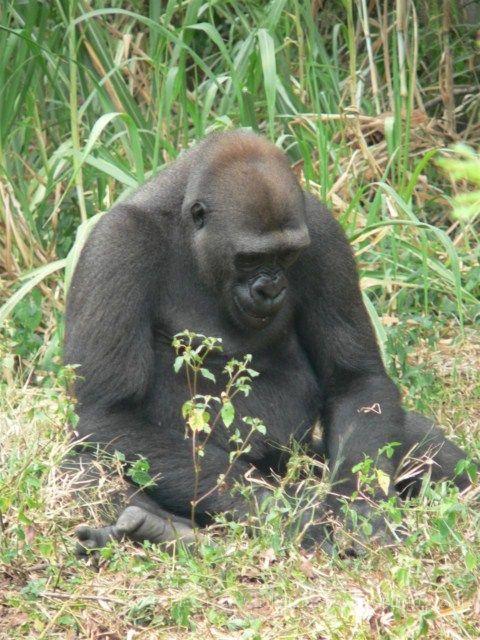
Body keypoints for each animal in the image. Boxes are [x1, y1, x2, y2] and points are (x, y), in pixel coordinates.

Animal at [63, 130, 472, 556]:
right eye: (248, 258)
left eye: (287, 254)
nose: (269, 288)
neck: (187, 229)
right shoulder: (117, 244)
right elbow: (109, 414)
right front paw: (295, 515)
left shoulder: (324, 233)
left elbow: (357, 381)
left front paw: (361, 508)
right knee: (85, 466)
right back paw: (163, 528)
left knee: (418, 438)